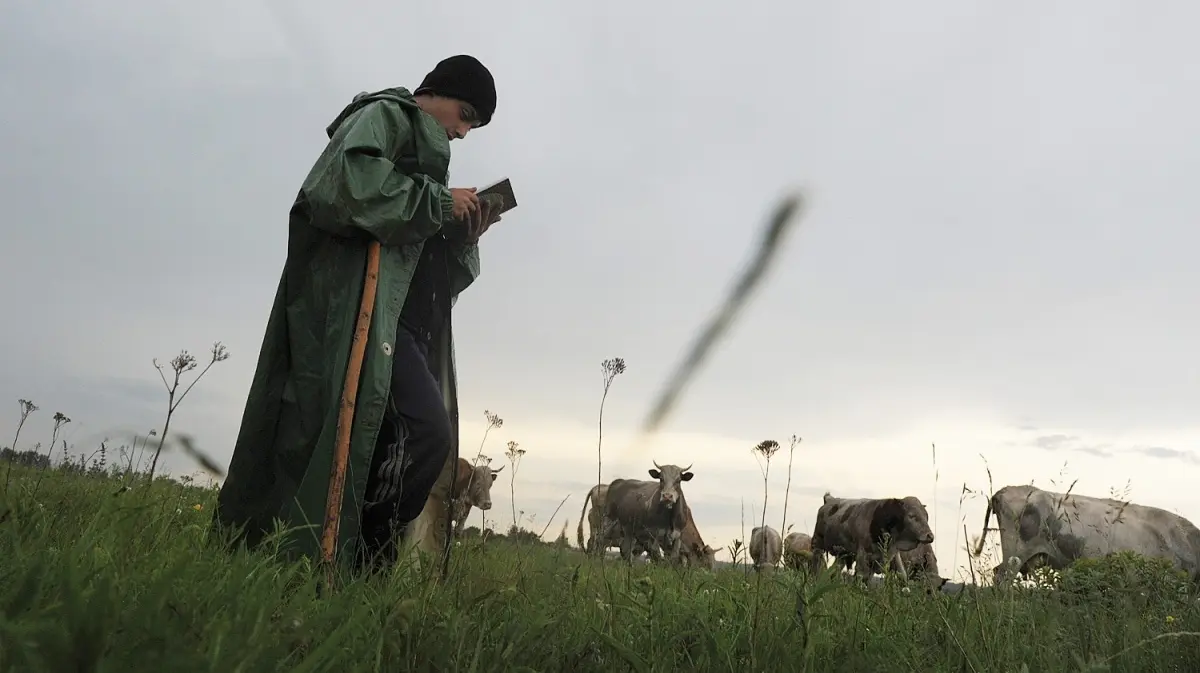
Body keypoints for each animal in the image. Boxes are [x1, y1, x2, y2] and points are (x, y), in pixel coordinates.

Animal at [806, 487, 936, 578]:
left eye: (926, 516)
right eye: (912, 516)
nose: (930, 536)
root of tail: (830, 499)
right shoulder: (863, 555)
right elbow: (861, 577)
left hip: (843, 554)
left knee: (834, 570)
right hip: (817, 544)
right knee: (816, 564)